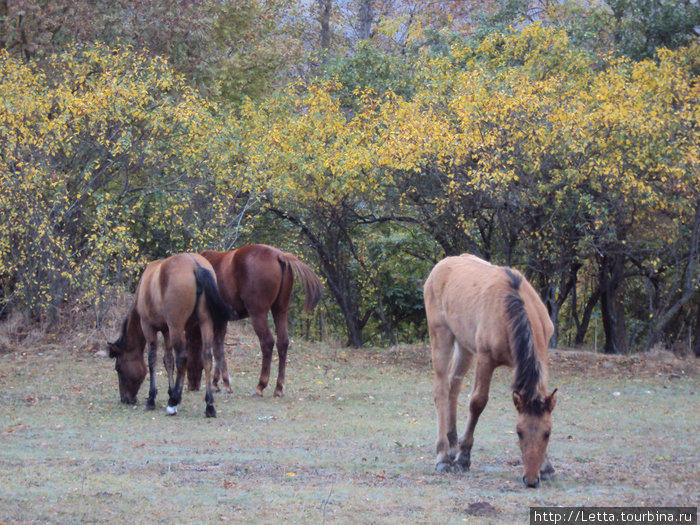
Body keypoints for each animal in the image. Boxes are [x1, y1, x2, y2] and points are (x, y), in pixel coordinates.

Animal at [106, 254, 232, 418]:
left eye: (118, 368)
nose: (125, 399)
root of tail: (196, 265)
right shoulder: (166, 331)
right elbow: (168, 361)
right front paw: (171, 391)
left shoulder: (149, 327)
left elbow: (153, 360)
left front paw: (153, 398)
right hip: (205, 323)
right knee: (207, 358)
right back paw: (209, 405)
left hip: (176, 327)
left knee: (182, 358)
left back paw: (173, 403)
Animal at [185, 246, 324, 398]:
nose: (192, 386)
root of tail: (280, 256)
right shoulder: (222, 320)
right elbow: (218, 347)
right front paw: (218, 382)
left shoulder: (217, 319)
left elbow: (217, 350)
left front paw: (224, 383)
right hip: (280, 310)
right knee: (283, 342)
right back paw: (279, 387)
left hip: (258, 314)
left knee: (267, 342)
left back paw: (260, 386)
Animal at [422, 254, 556, 488]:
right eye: (519, 432)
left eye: (547, 433)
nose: (531, 480)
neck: (512, 309)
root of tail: (441, 265)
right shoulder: (485, 359)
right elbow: (477, 403)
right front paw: (464, 458)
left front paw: (547, 466)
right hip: (441, 336)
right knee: (441, 391)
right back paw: (443, 456)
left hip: (464, 346)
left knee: (453, 386)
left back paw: (452, 446)